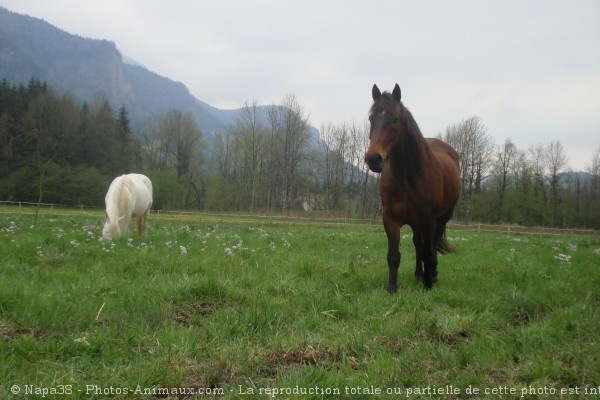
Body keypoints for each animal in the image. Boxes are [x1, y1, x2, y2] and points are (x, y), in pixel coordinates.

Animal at [364, 83, 462, 292]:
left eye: (395, 119)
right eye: (371, 118)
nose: (373, 159)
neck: (407, 176)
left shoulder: (428, 219)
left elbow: (427, 252)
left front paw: (428, 285)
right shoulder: (390, 219)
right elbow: (394, 255)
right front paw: (392, 288)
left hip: (441, 219)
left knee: (431, 246)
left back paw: (431, 275)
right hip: (417, 223)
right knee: (418, 244)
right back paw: (419, 275)